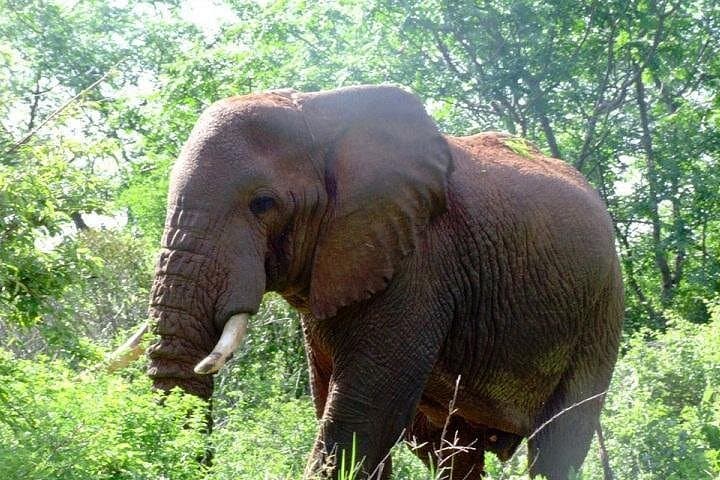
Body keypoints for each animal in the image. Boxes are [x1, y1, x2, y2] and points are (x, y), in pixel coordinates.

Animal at [138, 85, 623, 479]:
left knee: (559, 440)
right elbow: (333, 403)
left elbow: (361, 414)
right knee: (453, 448)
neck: (321, 112)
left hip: (602, 306)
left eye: (263, 203)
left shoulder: (421, 262)